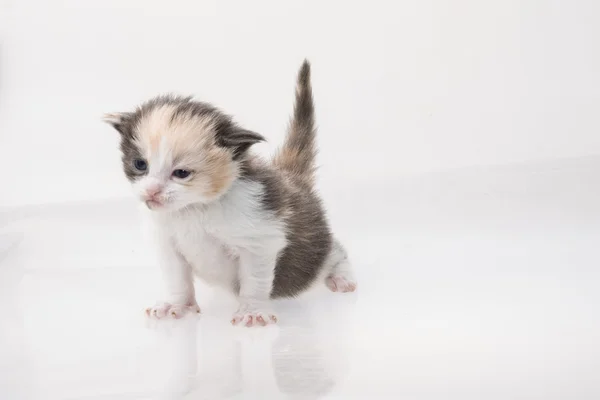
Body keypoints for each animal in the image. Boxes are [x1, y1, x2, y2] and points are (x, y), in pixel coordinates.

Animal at [103, 61, 356, 326]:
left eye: (181, 173)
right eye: (140, 164)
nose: (152, 191)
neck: (194, 209)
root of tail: (291, 176)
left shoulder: (260, 238)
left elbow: (254, 281)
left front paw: (252, 311)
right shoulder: (167, 242)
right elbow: (177, 279)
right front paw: (177, 305)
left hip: (311, 249)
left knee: (332, 252)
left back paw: (341, 276)